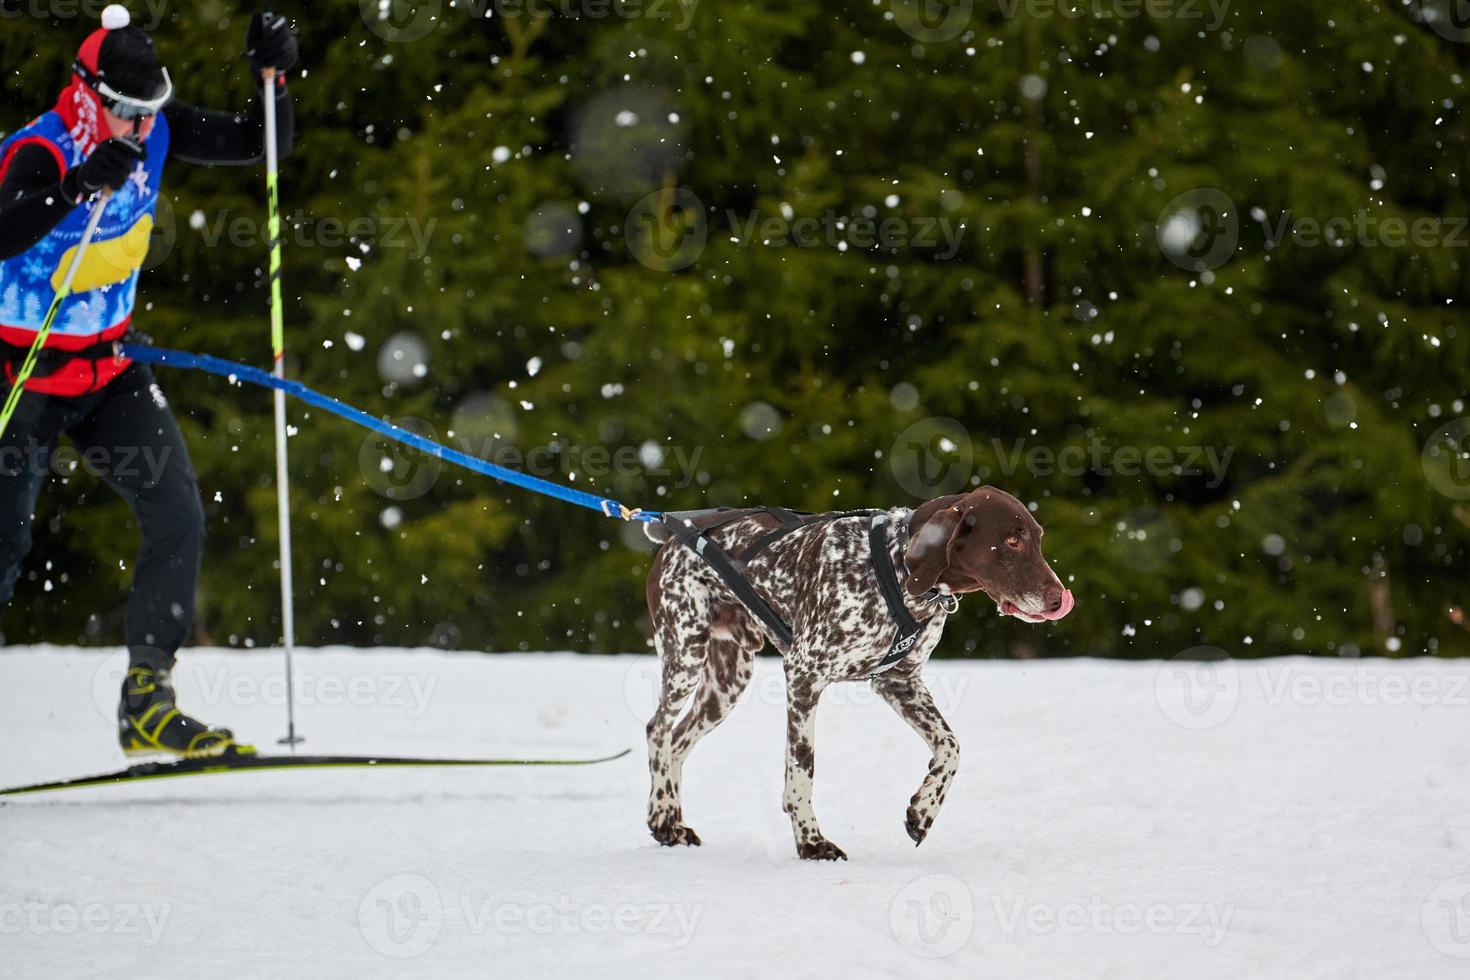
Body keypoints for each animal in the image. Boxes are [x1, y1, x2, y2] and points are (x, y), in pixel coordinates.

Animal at [637, 487, 1076, 863]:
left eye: (1036, 538)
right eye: (1012, 541)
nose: (1061, 600)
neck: (900, 569)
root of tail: (670, 534)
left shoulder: (900, 681)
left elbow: (951, 747)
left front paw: (923, 811)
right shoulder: (804, 674)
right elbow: (802, 770)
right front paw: (811, 842)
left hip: (728, 679)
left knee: (678, 739)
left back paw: (672, 821)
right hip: (685, 653)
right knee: (659, 729)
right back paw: (661, 815)